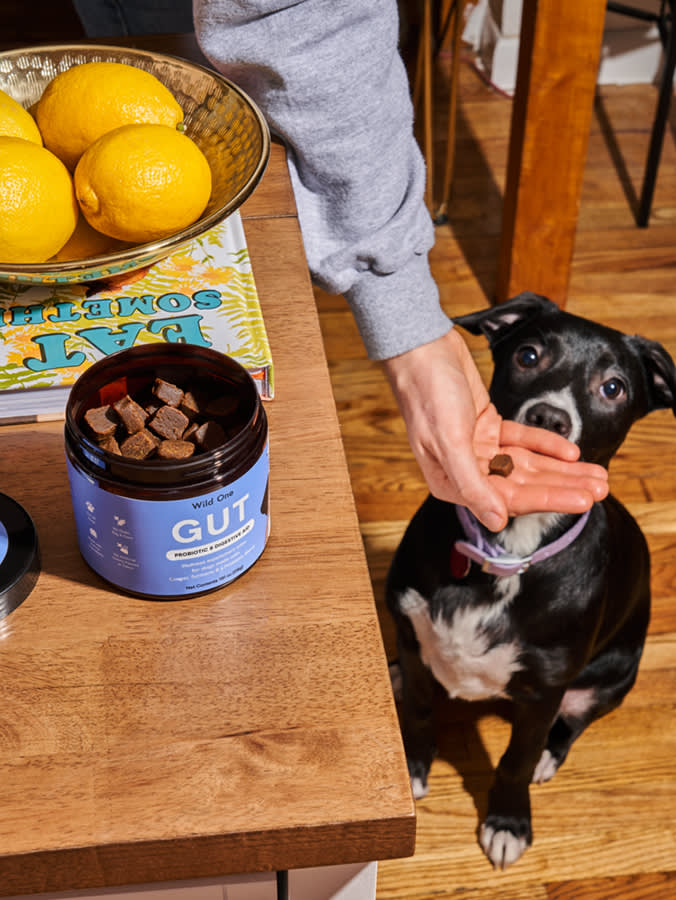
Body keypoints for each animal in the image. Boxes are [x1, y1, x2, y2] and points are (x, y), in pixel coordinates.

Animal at [386, 292, 676, 868]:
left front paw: (507, 821)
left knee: (571, 725)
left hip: (614, 676)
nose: (548, 418)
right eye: (528, 355)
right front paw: (413, 764)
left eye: (614, 387)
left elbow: (517, 757)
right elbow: (424, 711)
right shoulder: (409, 625)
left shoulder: (544, 689)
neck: (510, 553)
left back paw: (549, 755)